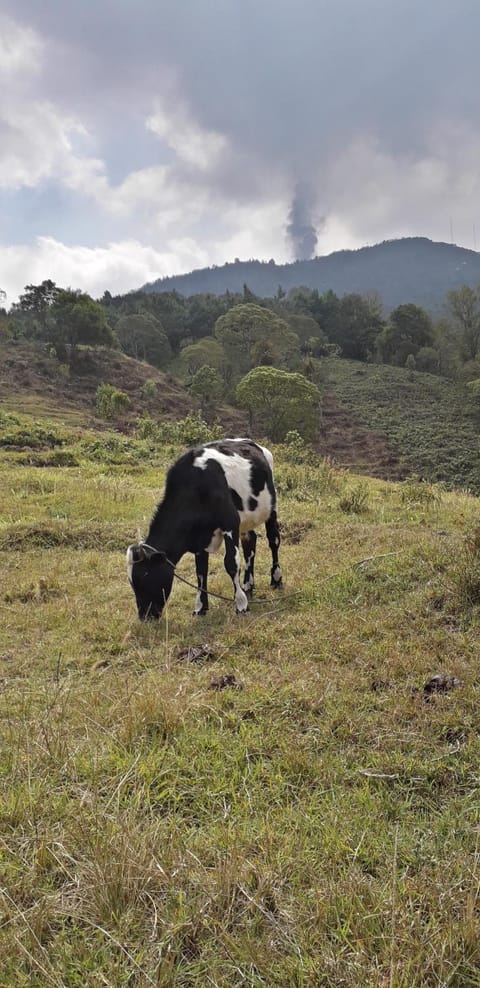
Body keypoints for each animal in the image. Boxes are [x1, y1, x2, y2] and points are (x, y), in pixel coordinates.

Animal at [126, 438, 282, 620]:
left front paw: (241, 605)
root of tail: (252, 443)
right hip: (246, 519)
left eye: (145, 575)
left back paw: (276, 579)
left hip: (271, 508)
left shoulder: (230, 523)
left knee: (273, 540)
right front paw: (200, 607)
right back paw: (248, 586)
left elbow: (231, 563)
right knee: (250, 544)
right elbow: (201, 570)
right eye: (132, 582)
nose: (144, 616)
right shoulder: (199, 536)